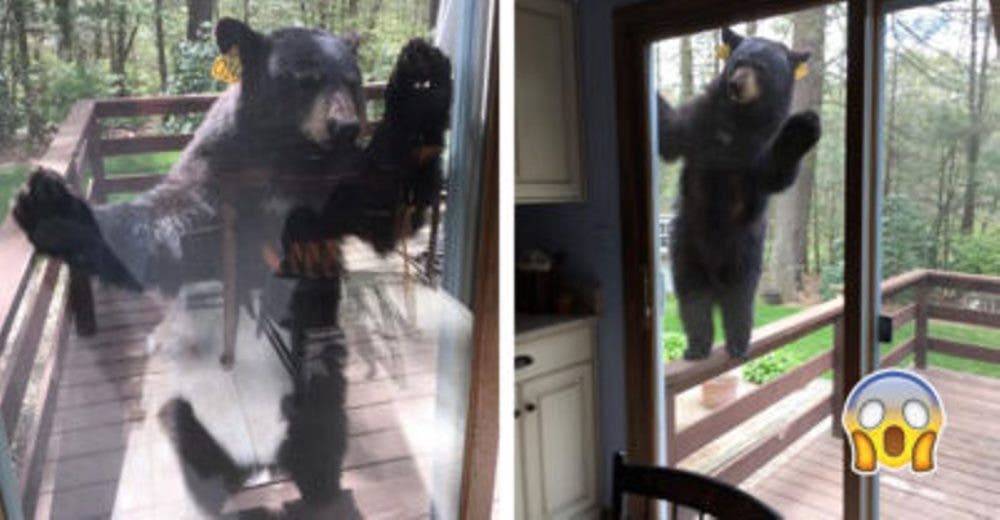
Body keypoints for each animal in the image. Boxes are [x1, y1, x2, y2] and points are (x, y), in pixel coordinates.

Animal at [11, 18, 448, 512]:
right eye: (306, 79)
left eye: (352, 81)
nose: (345, 127)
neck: (288, 159)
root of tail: (260, 456)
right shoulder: (218, 178)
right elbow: (166, 228)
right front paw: (49, 204)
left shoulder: (335, 189)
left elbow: (386, 206)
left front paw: (421, 73)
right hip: (198, 394)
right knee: (190, 432)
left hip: (315, 375)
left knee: (322, 425)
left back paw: (319, 487)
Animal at [656, 28, 820, 362]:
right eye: (738, 62)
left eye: (761, 68)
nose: (736, 84)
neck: (738, 121)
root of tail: (714, 275)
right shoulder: (701, 122)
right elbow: (672, 134)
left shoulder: (757, 147)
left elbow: (775, 173)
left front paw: (803, 126)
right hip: (686, 247)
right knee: (692, 300)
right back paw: (697, 345)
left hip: (745, 251)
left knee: (739, 302)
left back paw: (737, 344)